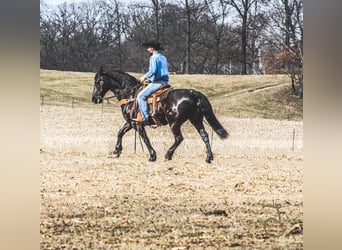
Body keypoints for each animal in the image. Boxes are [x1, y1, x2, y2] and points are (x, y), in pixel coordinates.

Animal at [92, 67, 228, 163]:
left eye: (99, 81)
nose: (94, 99)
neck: (130, 94)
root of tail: (193, 93)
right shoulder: (131, 122)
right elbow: (120, 132)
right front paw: (116, 151)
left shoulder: (137, 124)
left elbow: (145, 138)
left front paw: (152, 156)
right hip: (196, 120)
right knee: (204, 135)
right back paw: (209, 157)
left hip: (174, 123)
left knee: (179, 138)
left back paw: (168, 154)